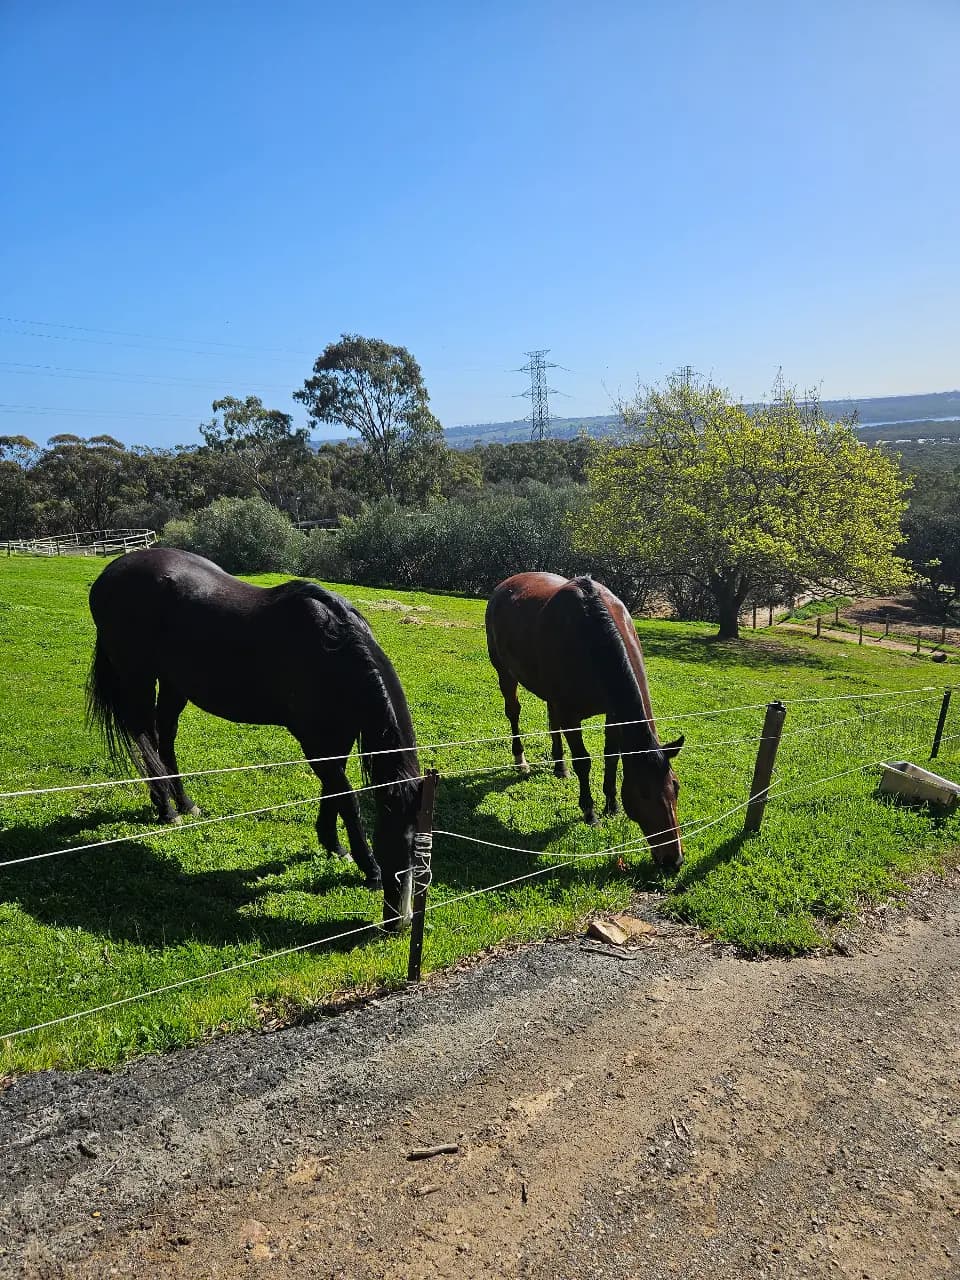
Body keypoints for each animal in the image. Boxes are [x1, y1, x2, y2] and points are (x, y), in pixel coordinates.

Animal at [86, 547, 422, 929]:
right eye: (391, 843)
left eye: (421, 850)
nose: (401, 921)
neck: (332, 651)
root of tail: (110, 573)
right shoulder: (314, 742)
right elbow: (346, 798)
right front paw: (368, 867)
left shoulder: (337, 738)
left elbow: (332, 793)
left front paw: (333, 845)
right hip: (137, 677)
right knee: (144, 737)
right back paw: (167, 809)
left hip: (174, 683)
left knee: (164, 738)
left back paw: (184, 803)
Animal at [485, 572, 684, 871]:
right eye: (644, 794)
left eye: (676, 787)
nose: (674, 860)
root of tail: (504, 586)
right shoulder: (571, 715)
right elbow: (584, 761)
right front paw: (590, 812)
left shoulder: (611, 715)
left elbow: (611, 756)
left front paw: (612, 805)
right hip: (505, 674)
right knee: (514, 713)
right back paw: (521, 760)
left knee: (551, 721)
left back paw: (559, 766)